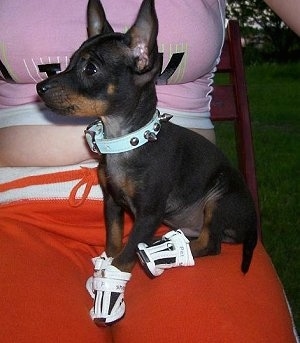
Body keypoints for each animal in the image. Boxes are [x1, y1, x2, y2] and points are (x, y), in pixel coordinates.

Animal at [37, 0, 258, 326]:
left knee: (210, 243)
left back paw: (166, 253)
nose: (40, 88)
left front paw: (112, 282)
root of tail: (253, 222)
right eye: (70, 61)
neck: (126, 142)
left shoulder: (149, 214)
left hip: (220, 197)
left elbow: (123, 258)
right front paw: (105, 264)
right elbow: (114, 243)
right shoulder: (112, 203)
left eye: (91, 69)